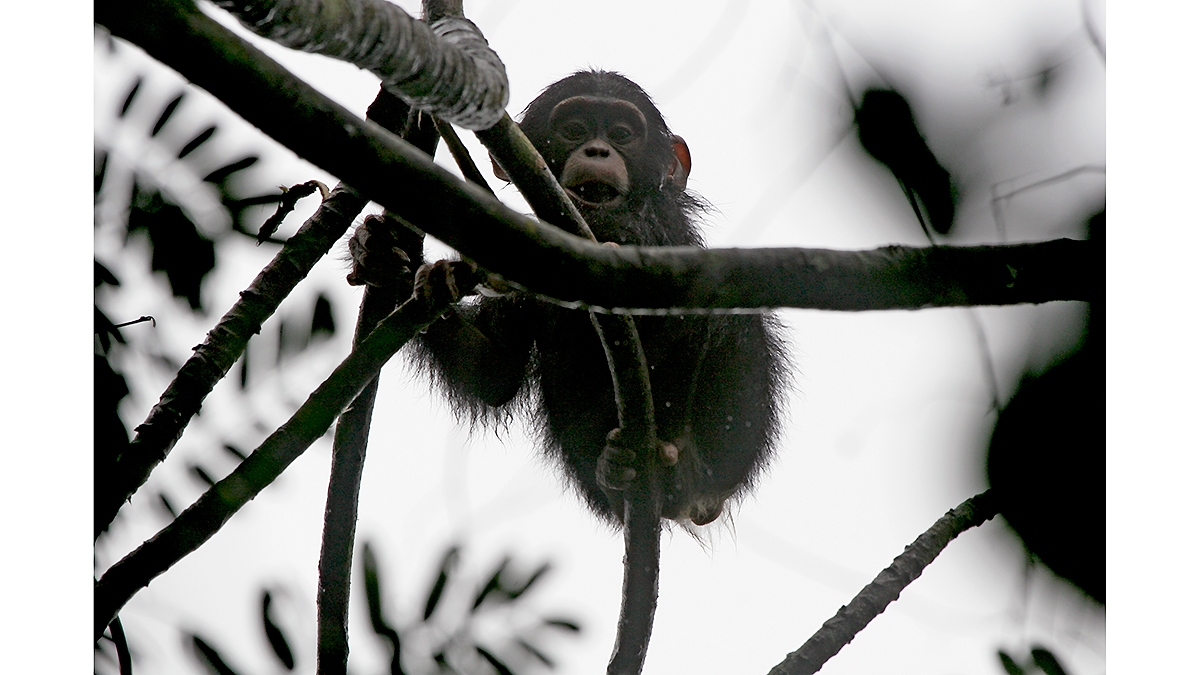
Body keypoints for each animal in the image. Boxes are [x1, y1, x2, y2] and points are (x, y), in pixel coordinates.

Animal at [349, 70, 788, 529]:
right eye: (574, 129)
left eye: (622, 134)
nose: (597, 149)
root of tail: (700, 506)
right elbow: (494, 371)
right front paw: (387, 256)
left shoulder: (657, 222)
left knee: (723, 318)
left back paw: (675, 469)